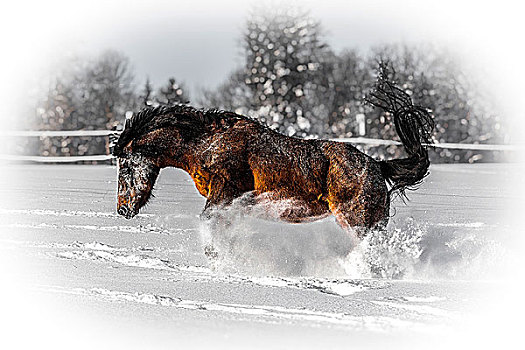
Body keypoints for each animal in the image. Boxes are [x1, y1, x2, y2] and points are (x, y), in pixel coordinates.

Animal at [113, 65, 434, 246]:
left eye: (125, 166)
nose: (122, 209)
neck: (207, 143)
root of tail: (377, 166)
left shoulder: (224, 196)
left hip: (358, 223)